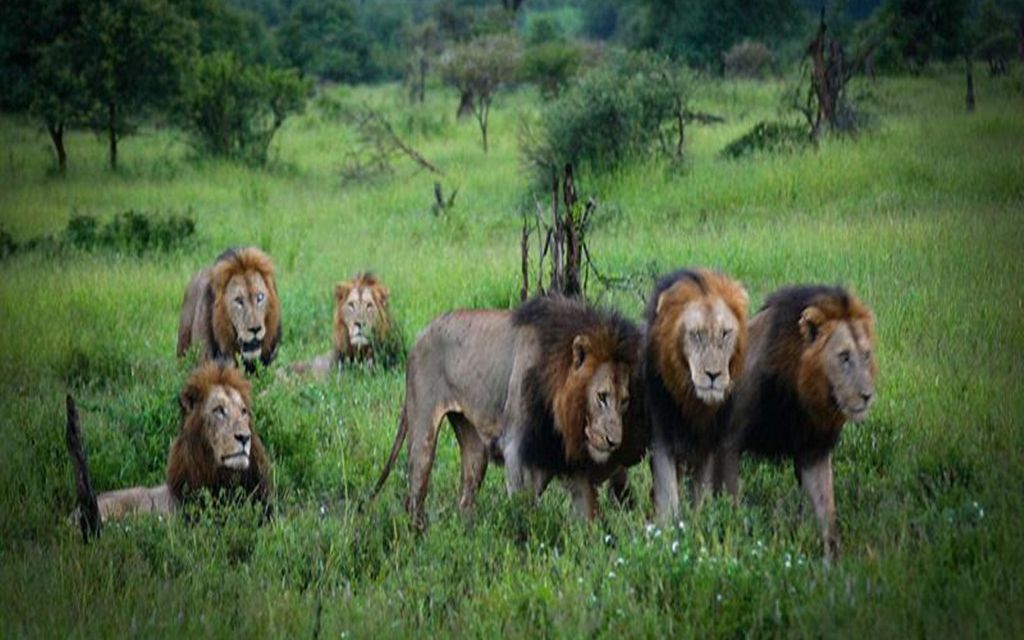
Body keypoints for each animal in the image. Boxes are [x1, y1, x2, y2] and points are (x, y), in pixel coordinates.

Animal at [372, 294, 643, 524]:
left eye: (625, 401)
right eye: (601, 397)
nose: (613, 442)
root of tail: (419, 336)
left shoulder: (571, 464)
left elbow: (589, 519)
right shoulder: (517, 454)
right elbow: (524, 517)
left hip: (474, 447)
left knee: (465, 500)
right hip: (423, 435)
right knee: (414, 498)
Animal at [647, 266, 753, 522]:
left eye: (725, 333)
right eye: (696, 334)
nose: (713, 375)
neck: (693, 402)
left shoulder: (709, 442)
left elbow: (701, 492)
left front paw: (699, 521)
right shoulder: (661, 435)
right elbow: (668, 494)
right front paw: (668, 527)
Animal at [716, 284, 876, 557]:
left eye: (866, 356)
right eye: (844, 356)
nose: (867, 395)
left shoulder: (814, 449)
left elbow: (826, 510)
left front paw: (833, 559)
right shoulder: (729, 442)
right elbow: (732, 503)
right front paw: (733, 543)